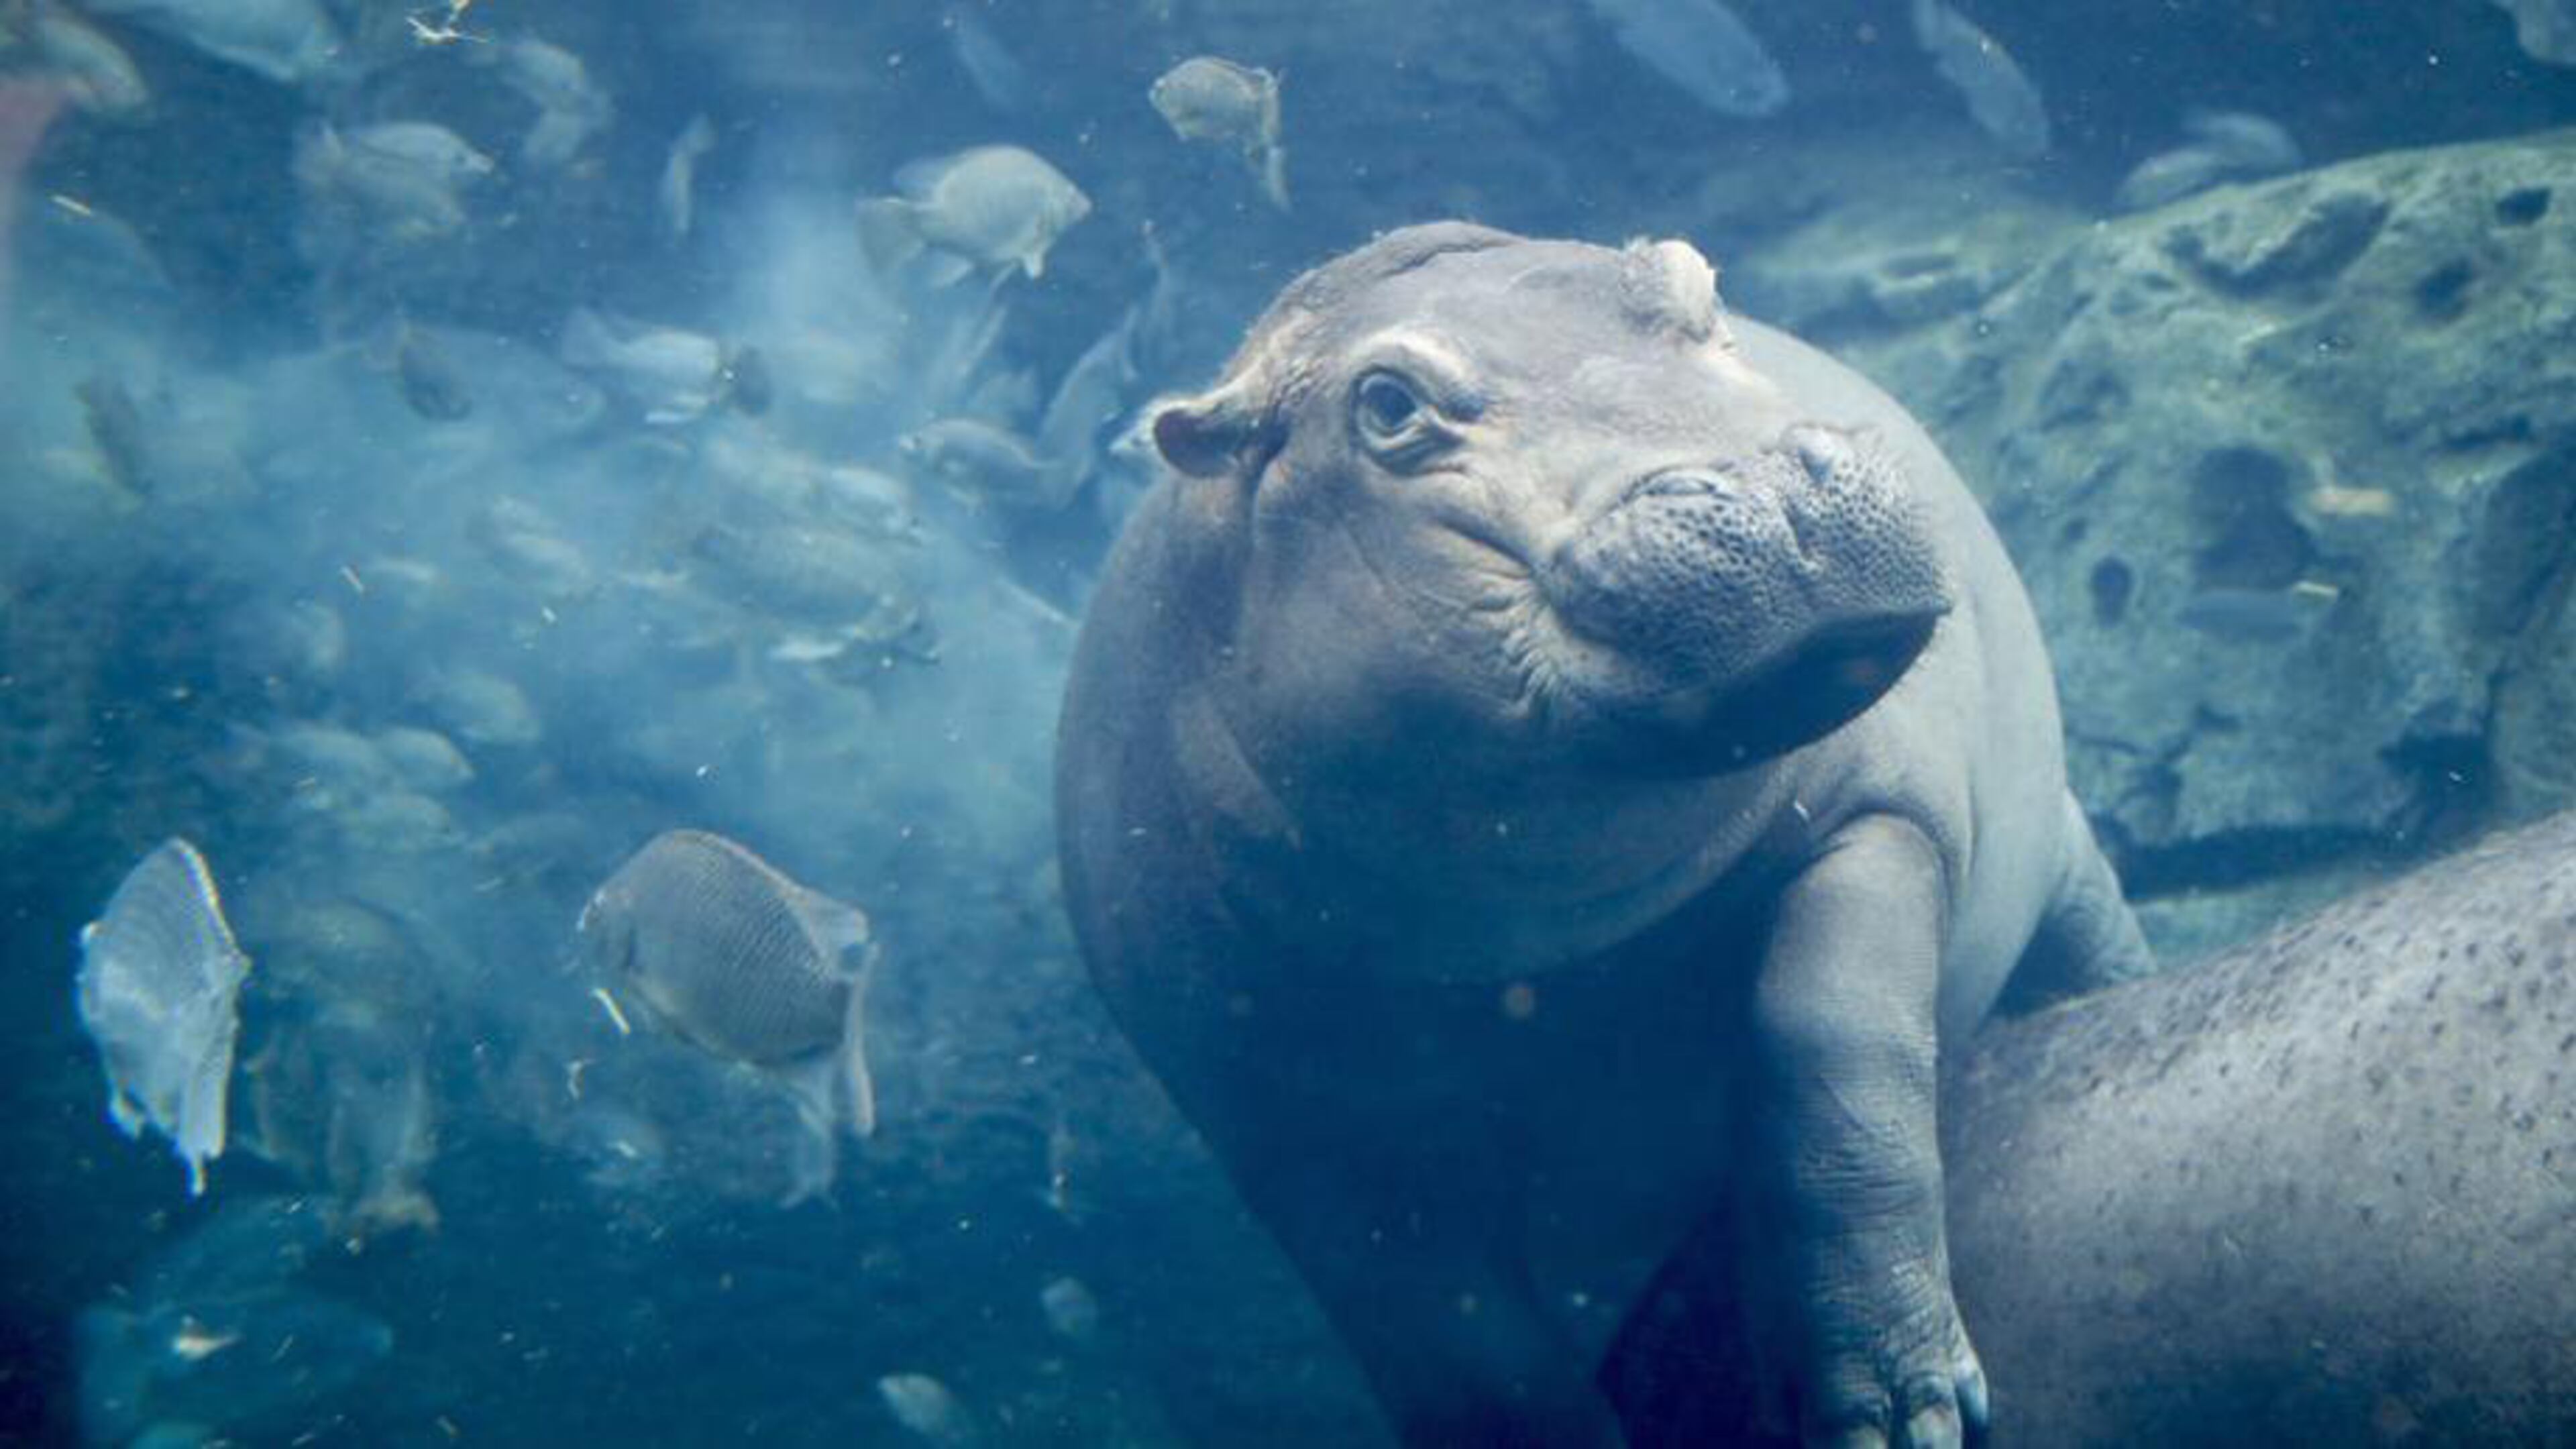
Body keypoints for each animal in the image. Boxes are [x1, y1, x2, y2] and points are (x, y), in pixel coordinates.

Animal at [1055, 223, 2149, 1446]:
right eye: (1386, 404)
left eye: (1696, 284)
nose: (1771, 492)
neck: (1539, 934)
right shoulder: (1280, 1121)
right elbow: (1465, 1350)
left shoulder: (1881, 815)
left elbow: (1833, 1057)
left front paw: (1902, 1413)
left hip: (2060, 850)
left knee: (2089, 933)